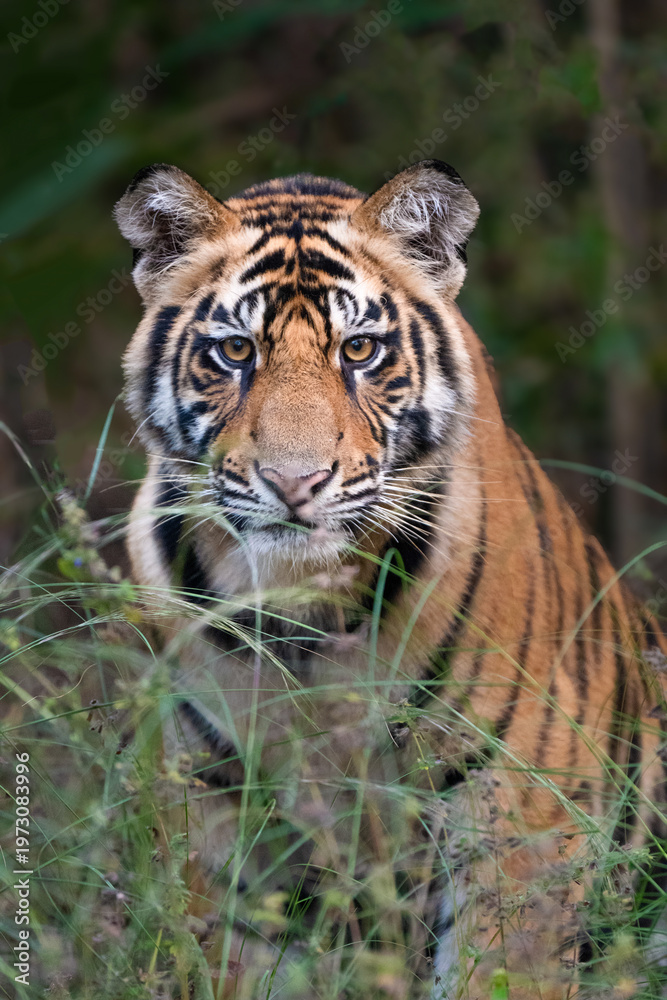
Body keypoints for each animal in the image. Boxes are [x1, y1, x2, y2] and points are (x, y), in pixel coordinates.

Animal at [114, 159, 667, 999]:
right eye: (236, 351)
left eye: (360, 350)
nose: (294, 482)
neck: (302, 612)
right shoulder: (223, 816)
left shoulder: (520, 821)